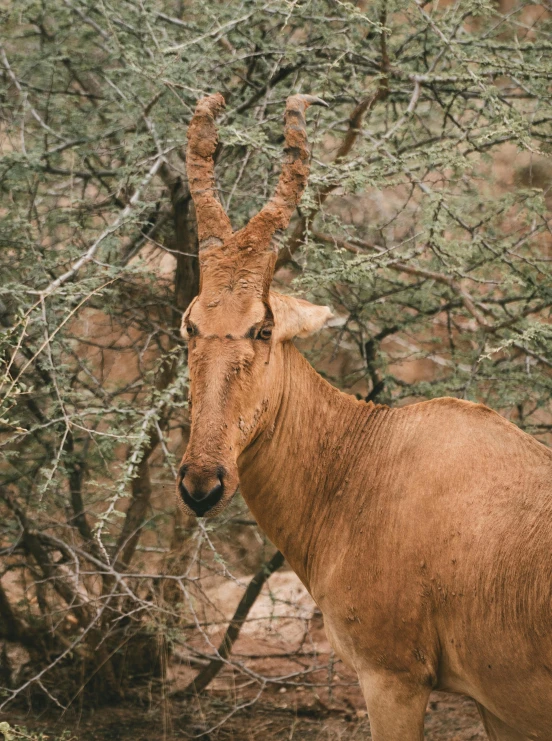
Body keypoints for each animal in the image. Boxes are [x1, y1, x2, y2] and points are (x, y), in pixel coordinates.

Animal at [178, 94, 552, 740]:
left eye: (263, 326)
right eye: (190, 323)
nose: (202, 484)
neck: (368, 462)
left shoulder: (391, 679)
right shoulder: (499, 708)